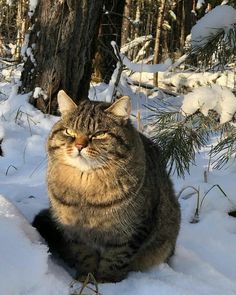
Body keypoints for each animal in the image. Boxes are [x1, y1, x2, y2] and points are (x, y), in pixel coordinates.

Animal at [32, 91, 181, 284]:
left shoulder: (130, 234)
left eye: (99, 134)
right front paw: (86, 278)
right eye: (69, 131)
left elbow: (115, 260)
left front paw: (106, 281)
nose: (79, 145)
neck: (85, 188)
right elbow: (85, 256)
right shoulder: (75, 233)